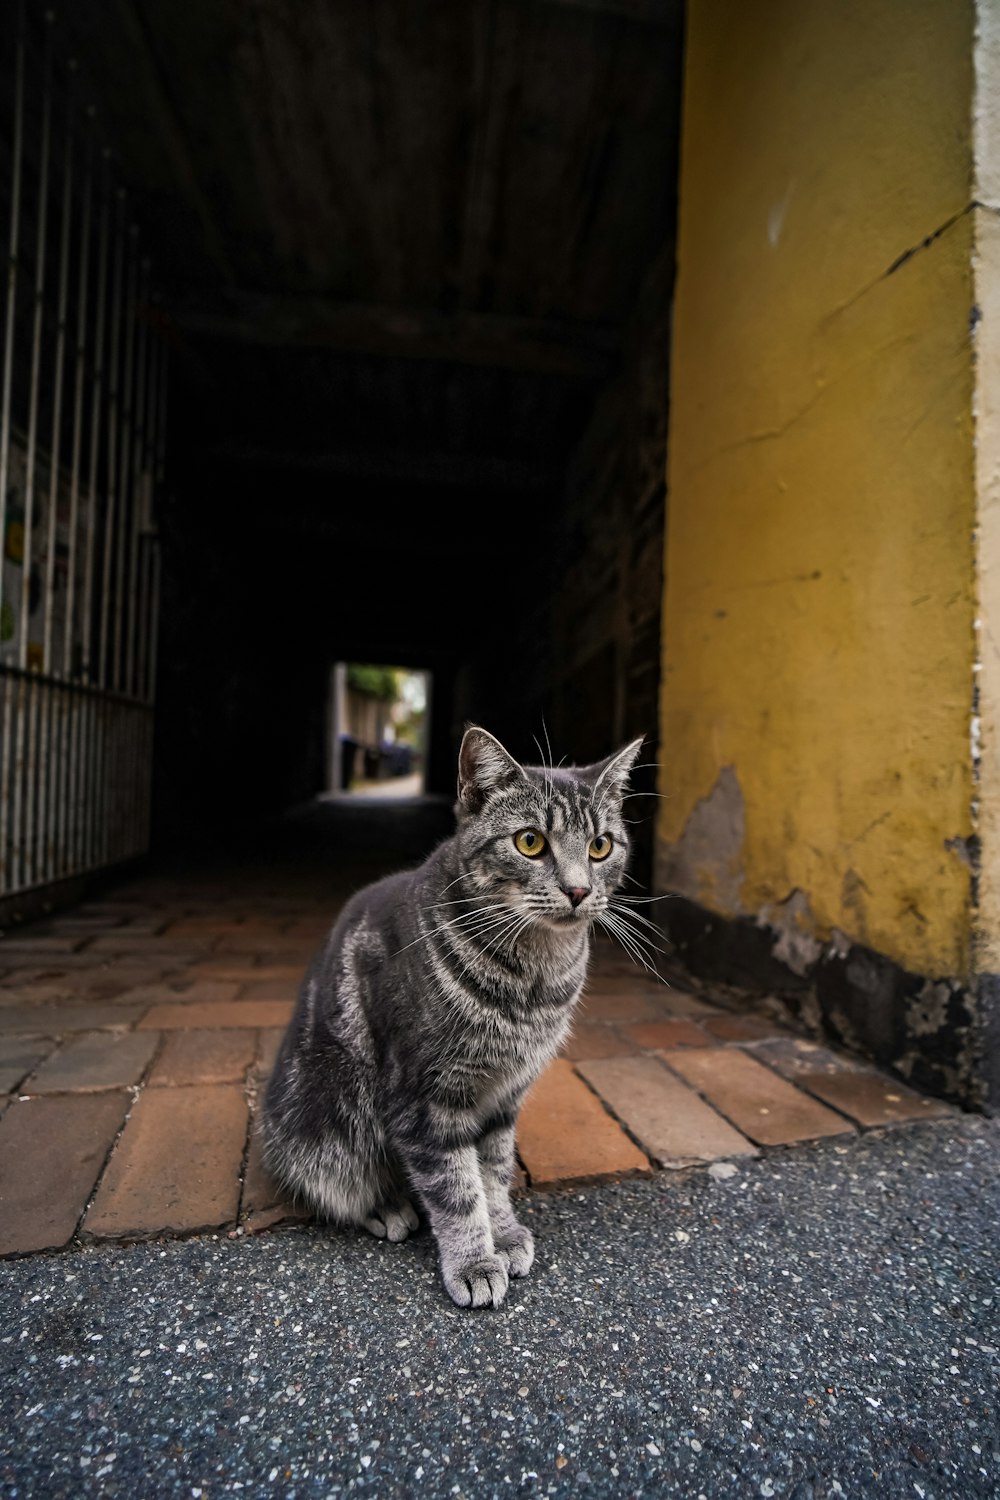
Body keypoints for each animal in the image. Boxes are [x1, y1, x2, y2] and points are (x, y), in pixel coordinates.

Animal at [262, 723, 644, 1302]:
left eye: (601, 846)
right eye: (530, 842)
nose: (579, 890)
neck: (535, 976)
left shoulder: (504, 1096)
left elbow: (493, 1174)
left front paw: (502, 1234)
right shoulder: (426, 1100)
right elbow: (457, 1190)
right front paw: (473, 1262)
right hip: (327, 1124)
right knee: (339, 1182)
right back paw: (386, 1206)